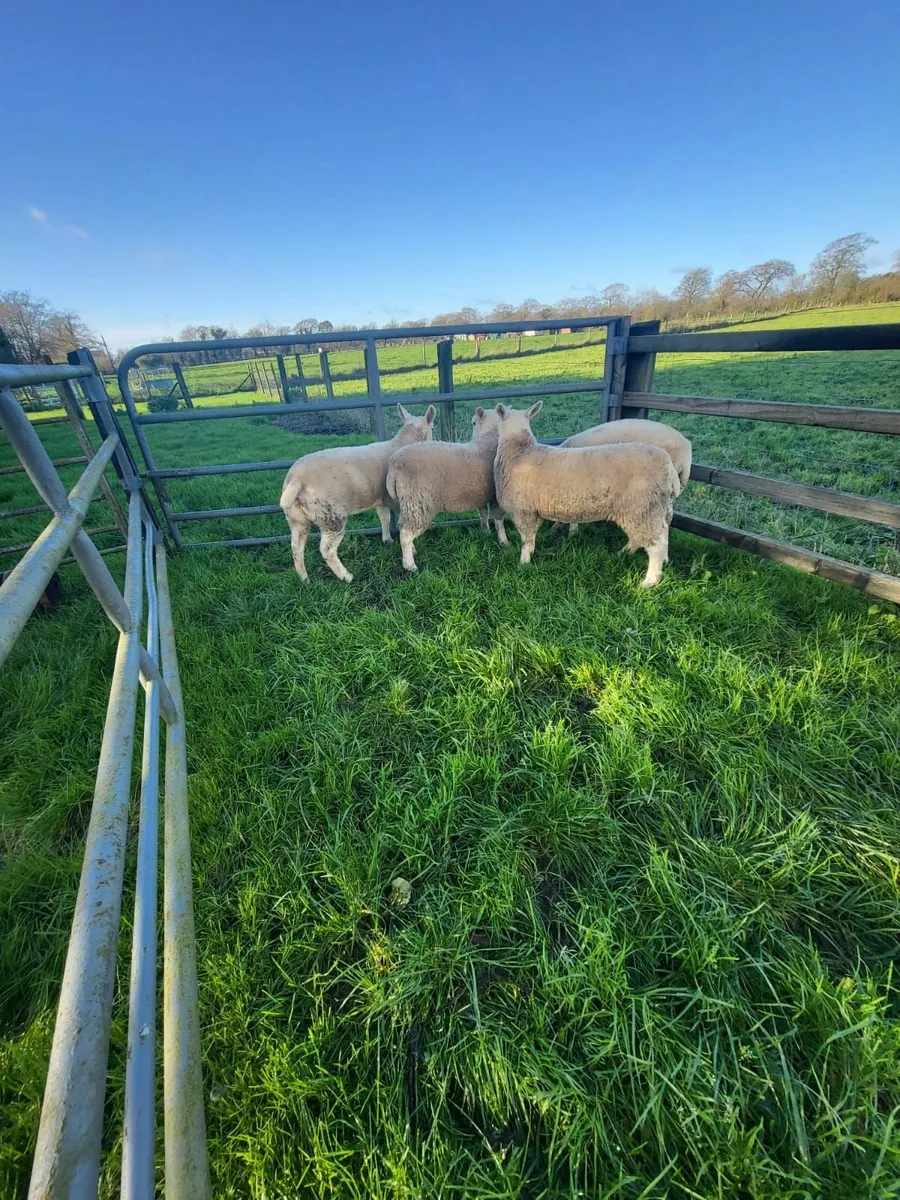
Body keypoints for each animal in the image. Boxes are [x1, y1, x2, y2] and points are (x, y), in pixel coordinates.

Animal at [280, 402, 436, 582]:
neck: (404, 442)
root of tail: (295, 479)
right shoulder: (400, 498)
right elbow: (403, 525)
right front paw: (411, 550)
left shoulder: (380, 497)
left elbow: (385, 518)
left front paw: (387, 540)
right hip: (331, 515)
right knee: (326, 549)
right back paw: (346, 576)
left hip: (296, 518)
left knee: (296, 547)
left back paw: (304, 578)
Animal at [386, 406, 508, 572]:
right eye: (473, 422)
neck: (491, 436)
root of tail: (393, 466)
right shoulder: (496, 494)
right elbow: (499, 520)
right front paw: (504, 542)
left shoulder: (481, 493)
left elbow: (483, 513)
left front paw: (486, 531)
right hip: (418, 502)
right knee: (406, 532)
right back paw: (410, 565)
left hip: (406, 502)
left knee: (402, 526)